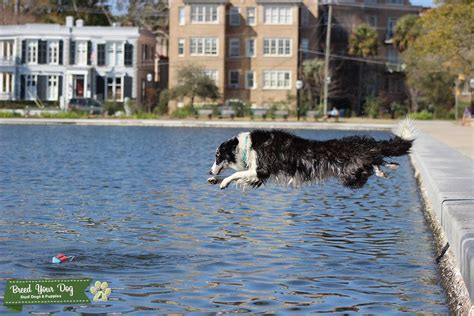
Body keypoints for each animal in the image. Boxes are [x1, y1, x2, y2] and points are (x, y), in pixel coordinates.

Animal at [207, 119, 414, 189]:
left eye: (217, 156)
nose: (209, 171)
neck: (246, 146)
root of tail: (368, 143)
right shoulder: (256, 175)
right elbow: (238, 175)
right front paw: (214, 180)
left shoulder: (261, 171)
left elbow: (235, 174)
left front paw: (223, 182)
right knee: (378, 160)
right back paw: (388, 168)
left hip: (350, 174)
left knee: (374, 163)